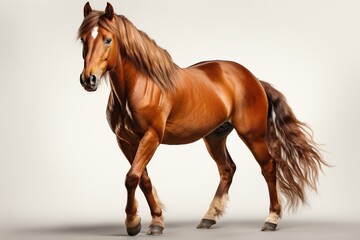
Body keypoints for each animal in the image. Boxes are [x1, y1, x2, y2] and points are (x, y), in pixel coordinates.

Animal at [77, 1, 328, 236]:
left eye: (108, 39)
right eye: (83, 40)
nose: (88, 79)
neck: (139, 86)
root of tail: (253, 79)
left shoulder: (151, 137)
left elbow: (132, 177)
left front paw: (133, 223)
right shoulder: (126, 140)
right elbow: (143, 179)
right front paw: (154, 220)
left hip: (253, 135)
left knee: (268, 167)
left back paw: (271, 219)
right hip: (215, 137)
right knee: (227, 169)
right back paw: (209, 217)